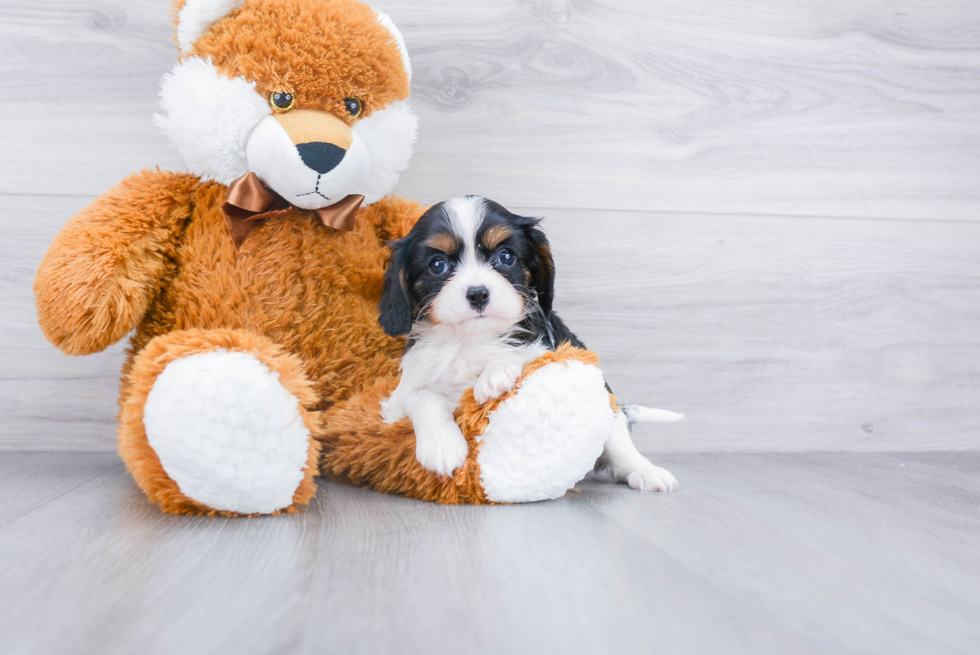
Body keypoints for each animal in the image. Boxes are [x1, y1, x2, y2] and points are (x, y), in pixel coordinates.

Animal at [378, 195, 680, 492]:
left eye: (505, 256)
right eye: (438, 265)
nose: (478, 294)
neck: (470, 339)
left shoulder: (549, 349)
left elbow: (524, 353)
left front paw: (494, 375)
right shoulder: (401, 394)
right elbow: (422, 398)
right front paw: (442, 447)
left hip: (610, 413)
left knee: (621, 449)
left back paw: (647, 472)